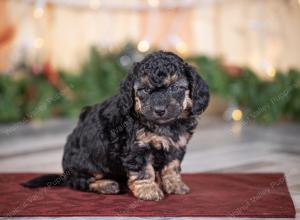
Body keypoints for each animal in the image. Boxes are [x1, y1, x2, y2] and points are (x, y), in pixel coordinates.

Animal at [23, 51, 209, 201]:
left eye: (175, 88)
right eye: (144, 90)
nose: (159, 110)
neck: (163, 125)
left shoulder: (176, 146)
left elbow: (172, 167)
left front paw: (175, 185)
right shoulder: (136, 149)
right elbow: (143, 170)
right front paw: (148, 190)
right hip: (87, 162)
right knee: (79, 181)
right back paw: (106, 185)